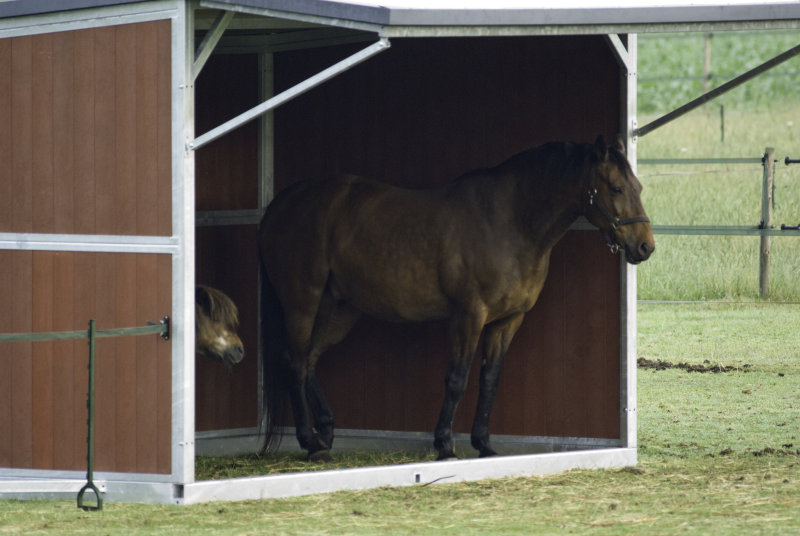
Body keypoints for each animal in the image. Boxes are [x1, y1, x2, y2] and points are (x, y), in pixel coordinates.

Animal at [260, 137, 652, 460]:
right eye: (617, 188)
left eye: (639, 186)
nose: (645, 247)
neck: (509, 222)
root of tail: (280, 203)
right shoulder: (468, 316)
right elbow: (457, 379)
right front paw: (445, 445)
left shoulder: (508, 320)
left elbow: (489, 379)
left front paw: (484, 444)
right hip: (302, 301)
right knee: (295, 362)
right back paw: (311, 443)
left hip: (339, 310)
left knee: (309, 360)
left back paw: (325, 433)